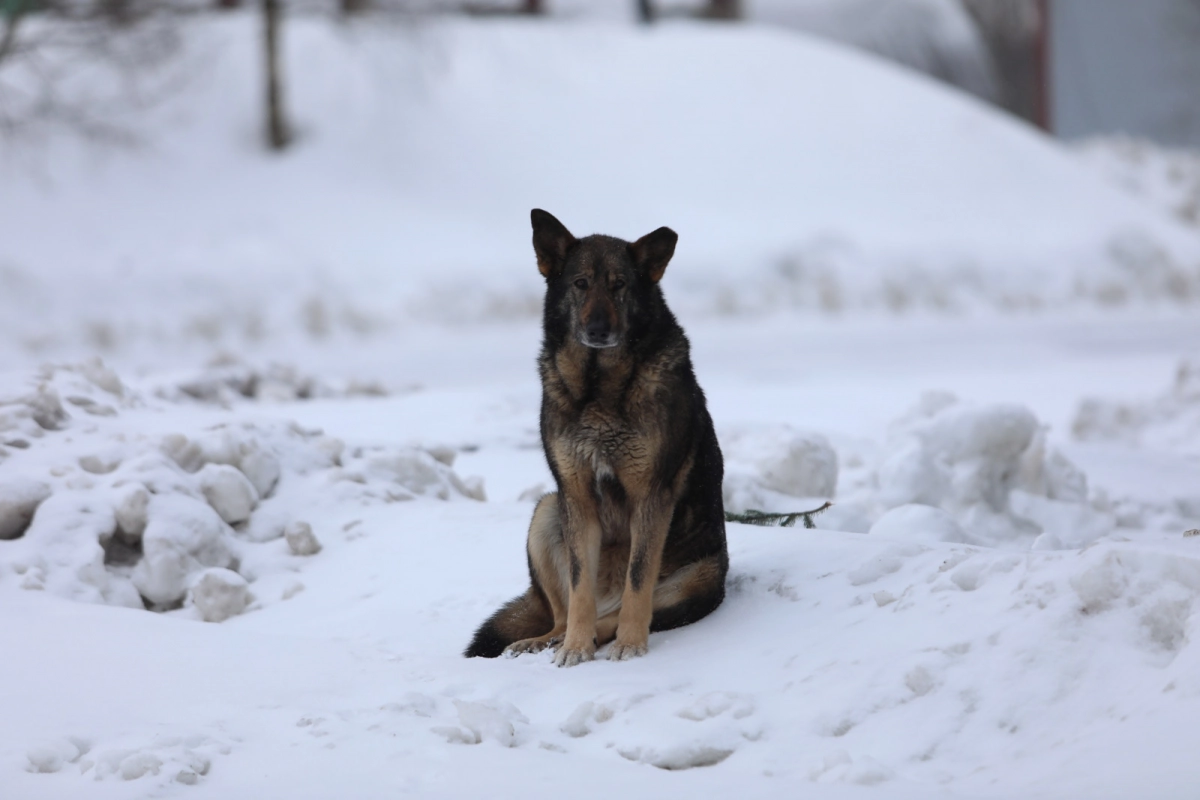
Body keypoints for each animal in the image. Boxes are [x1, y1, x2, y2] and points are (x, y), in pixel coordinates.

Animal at [460, 209, 724, 666]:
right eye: (581, 283)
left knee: (623, 610)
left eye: (619, 285)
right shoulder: (576, 494)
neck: (599, 387)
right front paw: (575, 649)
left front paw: (631, 644)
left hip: (695, 579)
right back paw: (547, 641)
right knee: (562, 613)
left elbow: (638, 582)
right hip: (548, 510)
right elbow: (579, 589)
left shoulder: (651, 497)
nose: (598, 329)